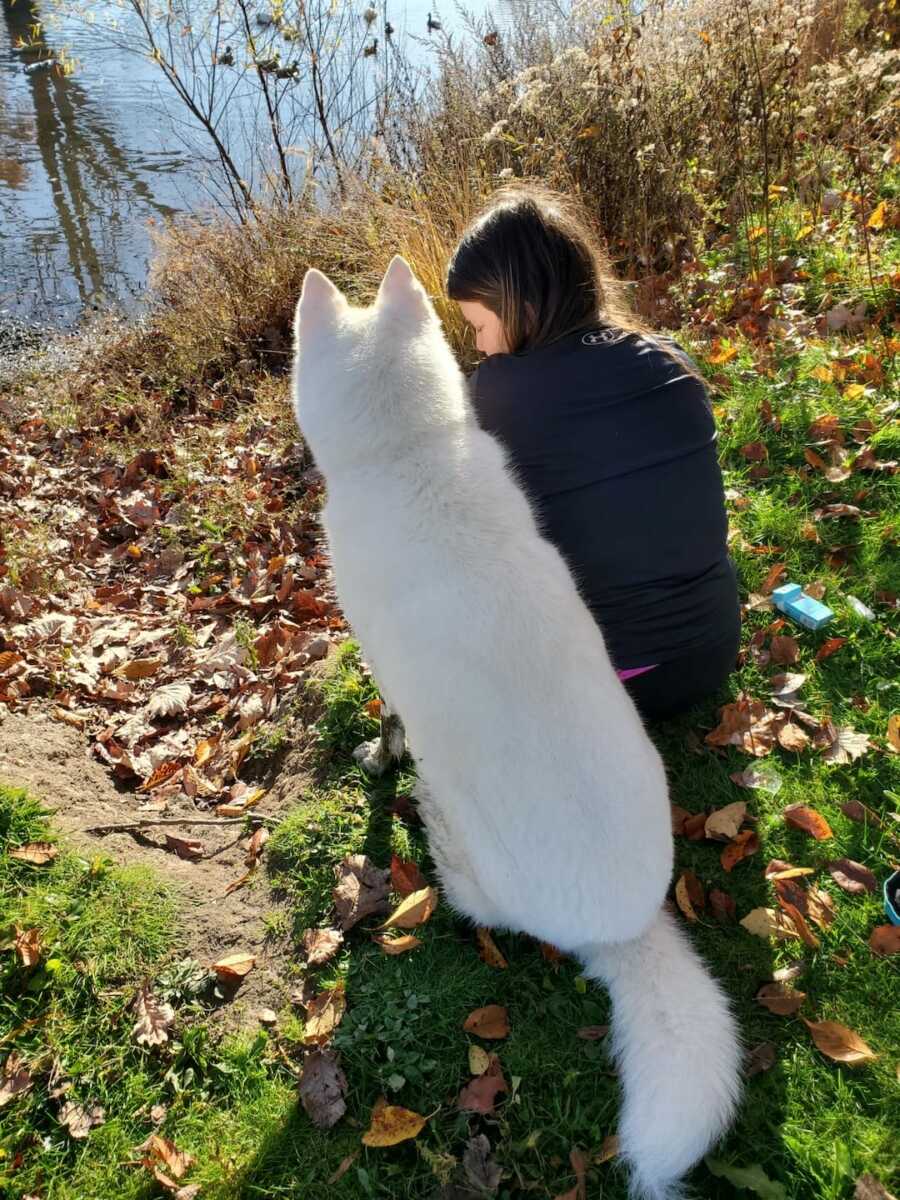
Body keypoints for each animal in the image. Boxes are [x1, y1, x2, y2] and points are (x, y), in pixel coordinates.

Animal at [292, 258, 744, 1195]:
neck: (412, 457)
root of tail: (626, 932)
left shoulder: (380, 665)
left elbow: (387, 731)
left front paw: (375, 759)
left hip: (468, 851)